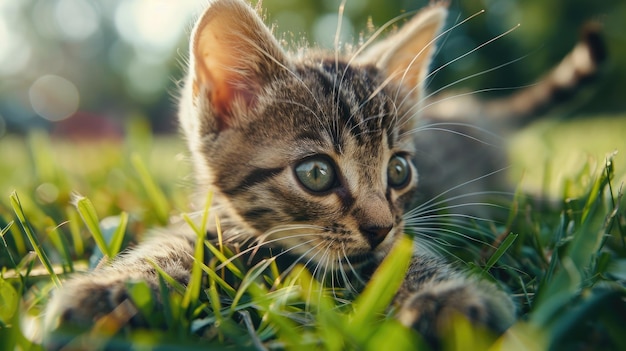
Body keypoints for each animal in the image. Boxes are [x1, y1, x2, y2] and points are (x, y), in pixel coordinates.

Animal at [42, 0, 600, 350]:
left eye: (399, 169)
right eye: (316, 174)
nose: (379, 228)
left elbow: (409, 260)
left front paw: (451, 303)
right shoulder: (216, 222)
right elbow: (174, 247)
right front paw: (113, 291)